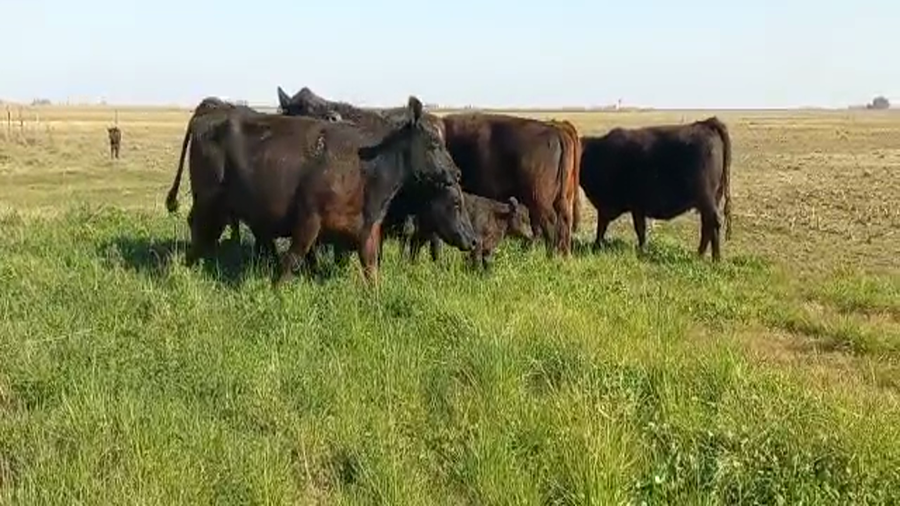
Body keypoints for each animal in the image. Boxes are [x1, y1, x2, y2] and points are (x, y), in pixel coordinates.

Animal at [195, 96, 477, 286]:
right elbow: (292, 259)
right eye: (434, 143)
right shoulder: (309, 219)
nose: (457, 173)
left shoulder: (368, 228)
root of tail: (211, 113)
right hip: (207, 202)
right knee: (200, 229)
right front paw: (277, 291)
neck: (366, 171)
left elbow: (371, 268)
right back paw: (192, 266)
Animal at [578, 116, 733, 260]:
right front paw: (597, 246)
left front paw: (640, 251)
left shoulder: (630, 205)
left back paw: (713, 258)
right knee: (707, 225)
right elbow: (605, 226)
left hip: (706, 198)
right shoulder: (623, 206)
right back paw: (703, 256)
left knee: (713, 223)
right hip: (710, 200)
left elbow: (636, 229)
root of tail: (706, 123)